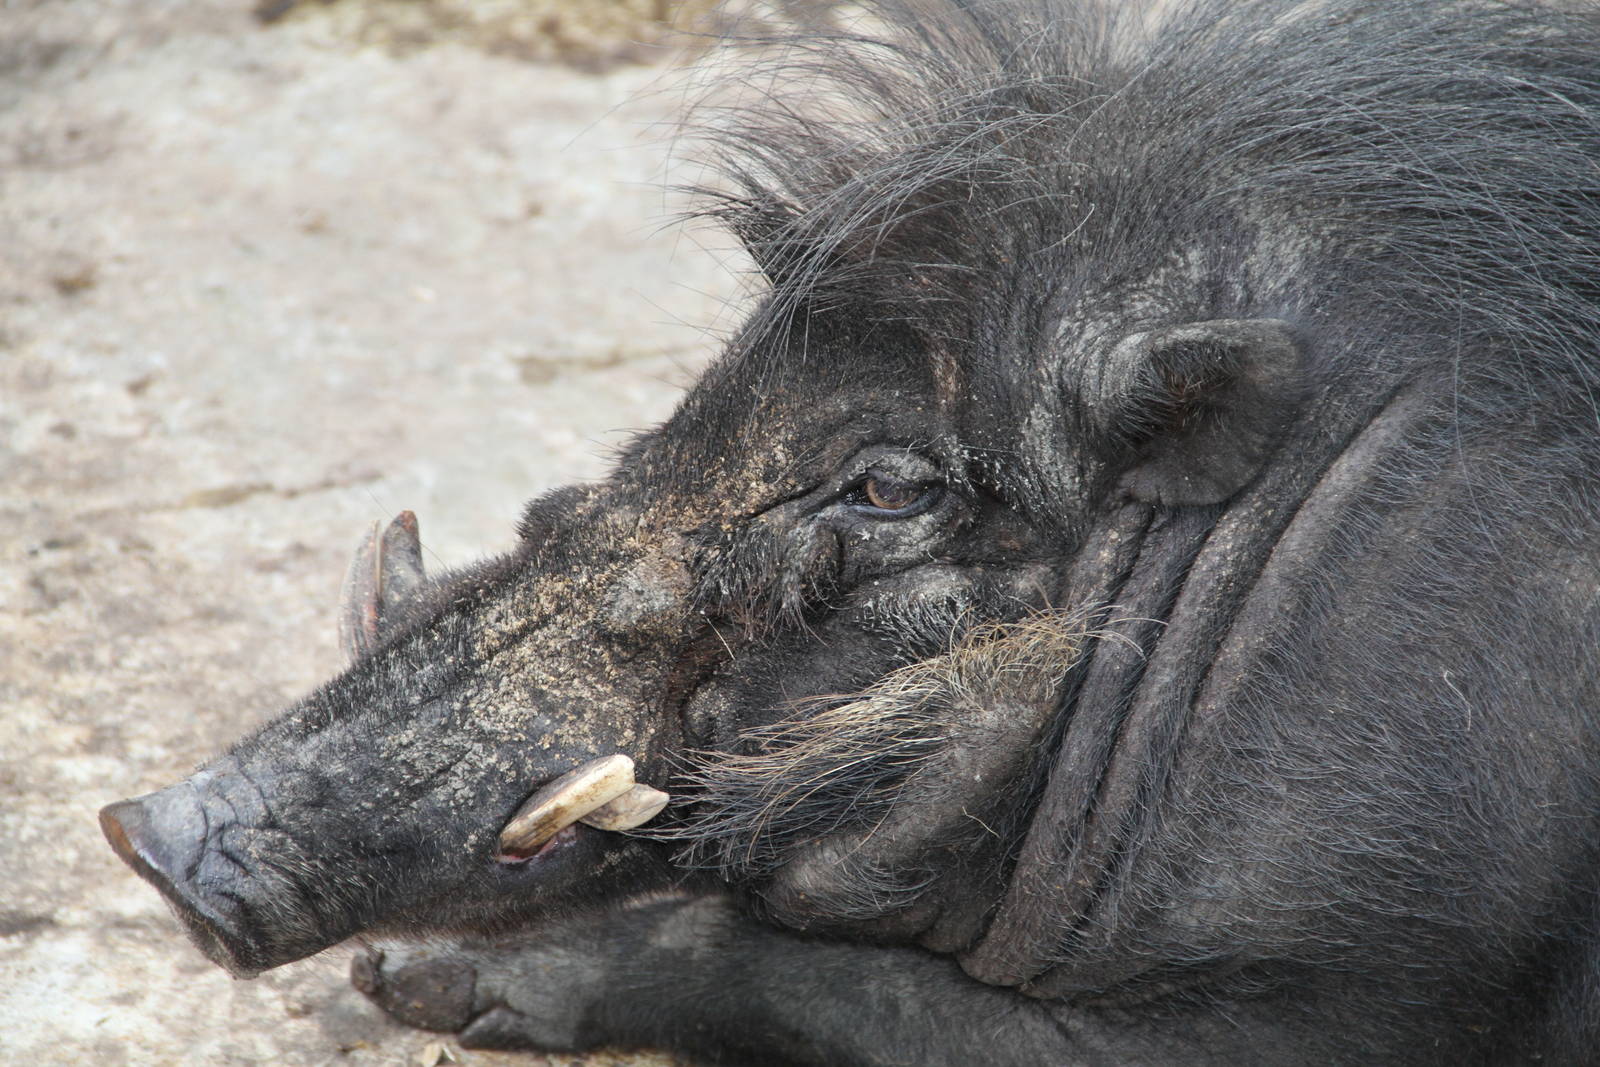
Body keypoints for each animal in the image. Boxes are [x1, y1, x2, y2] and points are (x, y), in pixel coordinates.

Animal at [101, 0, 1600, 1062]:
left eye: (886, 488)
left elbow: (823, 980)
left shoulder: (1339, 993)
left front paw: (414, 986)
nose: (150, 830)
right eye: (701, 394)